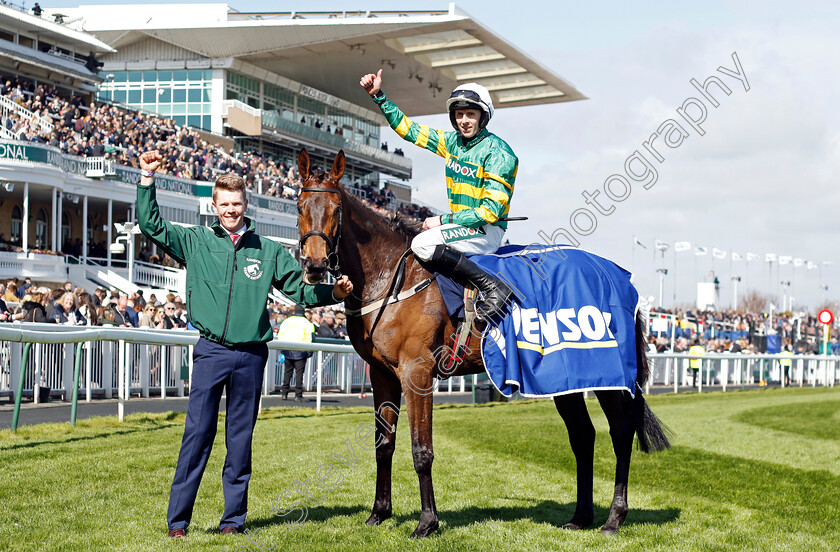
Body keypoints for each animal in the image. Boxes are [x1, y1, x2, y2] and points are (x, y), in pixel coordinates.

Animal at [296, 149, 668, 536]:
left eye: (336, 210)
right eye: (299, 205)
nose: (315, 265)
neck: (392, 279)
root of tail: (619, 277)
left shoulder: (417, 372)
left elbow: (421, 450)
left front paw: (427, 522)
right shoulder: (382, 373)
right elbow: (384, 445)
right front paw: (378, 514)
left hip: (606, 373)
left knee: (621, 432)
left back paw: (613, 518)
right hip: (564, 377)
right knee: (583, 435)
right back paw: (580, 517)